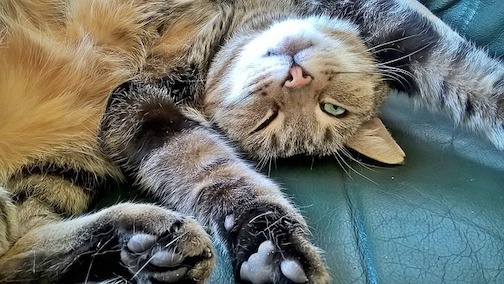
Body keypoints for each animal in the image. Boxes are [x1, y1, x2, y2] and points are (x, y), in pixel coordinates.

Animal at [0, 0, 504, 282]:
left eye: (330, 109)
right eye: (268, 119)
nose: (295, 76)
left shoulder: (140, 112)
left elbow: (220, 179)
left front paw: (269, 249)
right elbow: (478, 78)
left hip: (64, 169)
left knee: (20, 252)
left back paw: (142, 244)